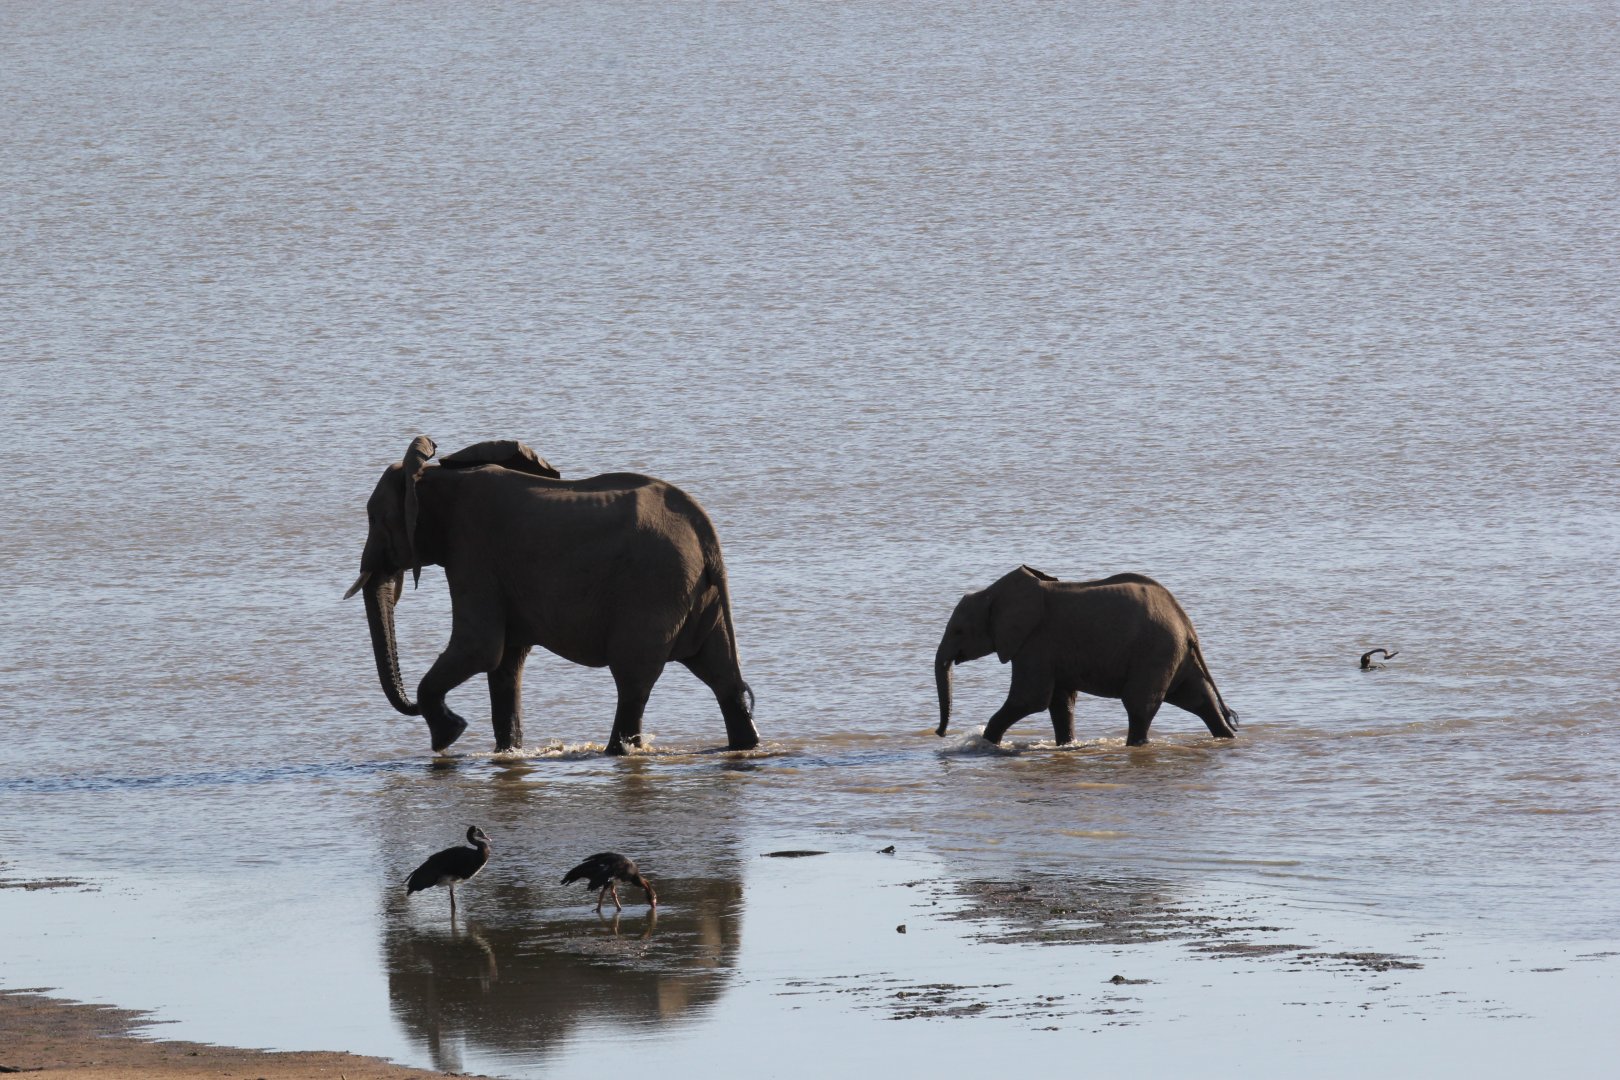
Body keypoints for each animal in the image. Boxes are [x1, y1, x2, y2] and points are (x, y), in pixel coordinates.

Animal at [345, 436, 759, 756]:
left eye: (373, 519)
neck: (433, 476)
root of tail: (706, 534)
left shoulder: (472, 550)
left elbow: (479, 648)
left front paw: (450, 734)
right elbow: (505, 661)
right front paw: (506, 751)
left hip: (655, 589)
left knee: (633, 679)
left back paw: (615, 751)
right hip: (697, 596)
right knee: (720, 674)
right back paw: (745, 744)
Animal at [934, 566, 1238, 747]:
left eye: (959, 630)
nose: (940, 734)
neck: (993, 592)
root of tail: (1187, 625)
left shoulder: (1034, 642)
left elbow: (1029, 700)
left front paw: (986, 744)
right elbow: (1060, 702)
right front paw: (1066, 746)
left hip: (1155, 652)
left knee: (1140, 705)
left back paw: (1135, 746)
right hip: (1172, 654)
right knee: (1198, 698)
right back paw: (1227, 736)